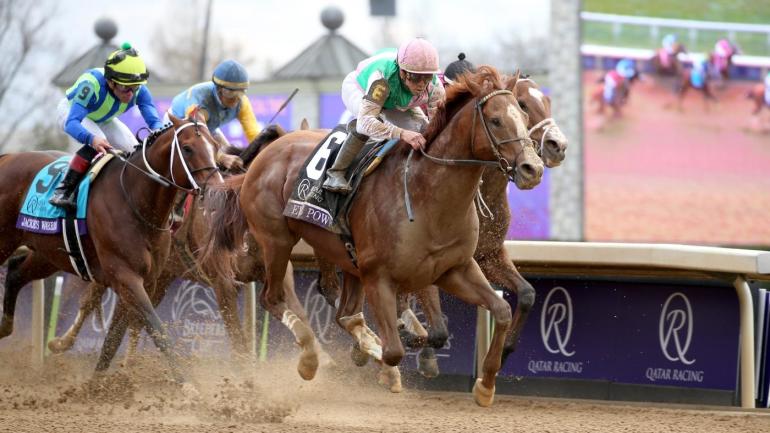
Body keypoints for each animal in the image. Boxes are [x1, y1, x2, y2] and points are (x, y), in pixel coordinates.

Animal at [0, 115, 221, 386]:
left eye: (215, 145)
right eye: (188, 148)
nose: (217, 189)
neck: (135, 202)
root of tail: (7, 157)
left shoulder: (145, 280)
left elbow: (115, 337)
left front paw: (96, 388)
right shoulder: (126, 277)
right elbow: (155, 327)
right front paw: (186, 384)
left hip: (48, 255)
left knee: (15, 272)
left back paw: (5, 327)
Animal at [202, 66, 544, 406]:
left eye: (522, 115)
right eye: (496, 120)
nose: (533, 168)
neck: (426, 195)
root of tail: (266, 155)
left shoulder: (454, 268)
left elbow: (499, 311)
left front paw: (486, 384)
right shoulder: (380, 277)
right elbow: (394, 351)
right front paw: (383, 358)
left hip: (344, 260)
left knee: (344, 313)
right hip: (277, 241)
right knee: (273, 298)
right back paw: (311, 359)